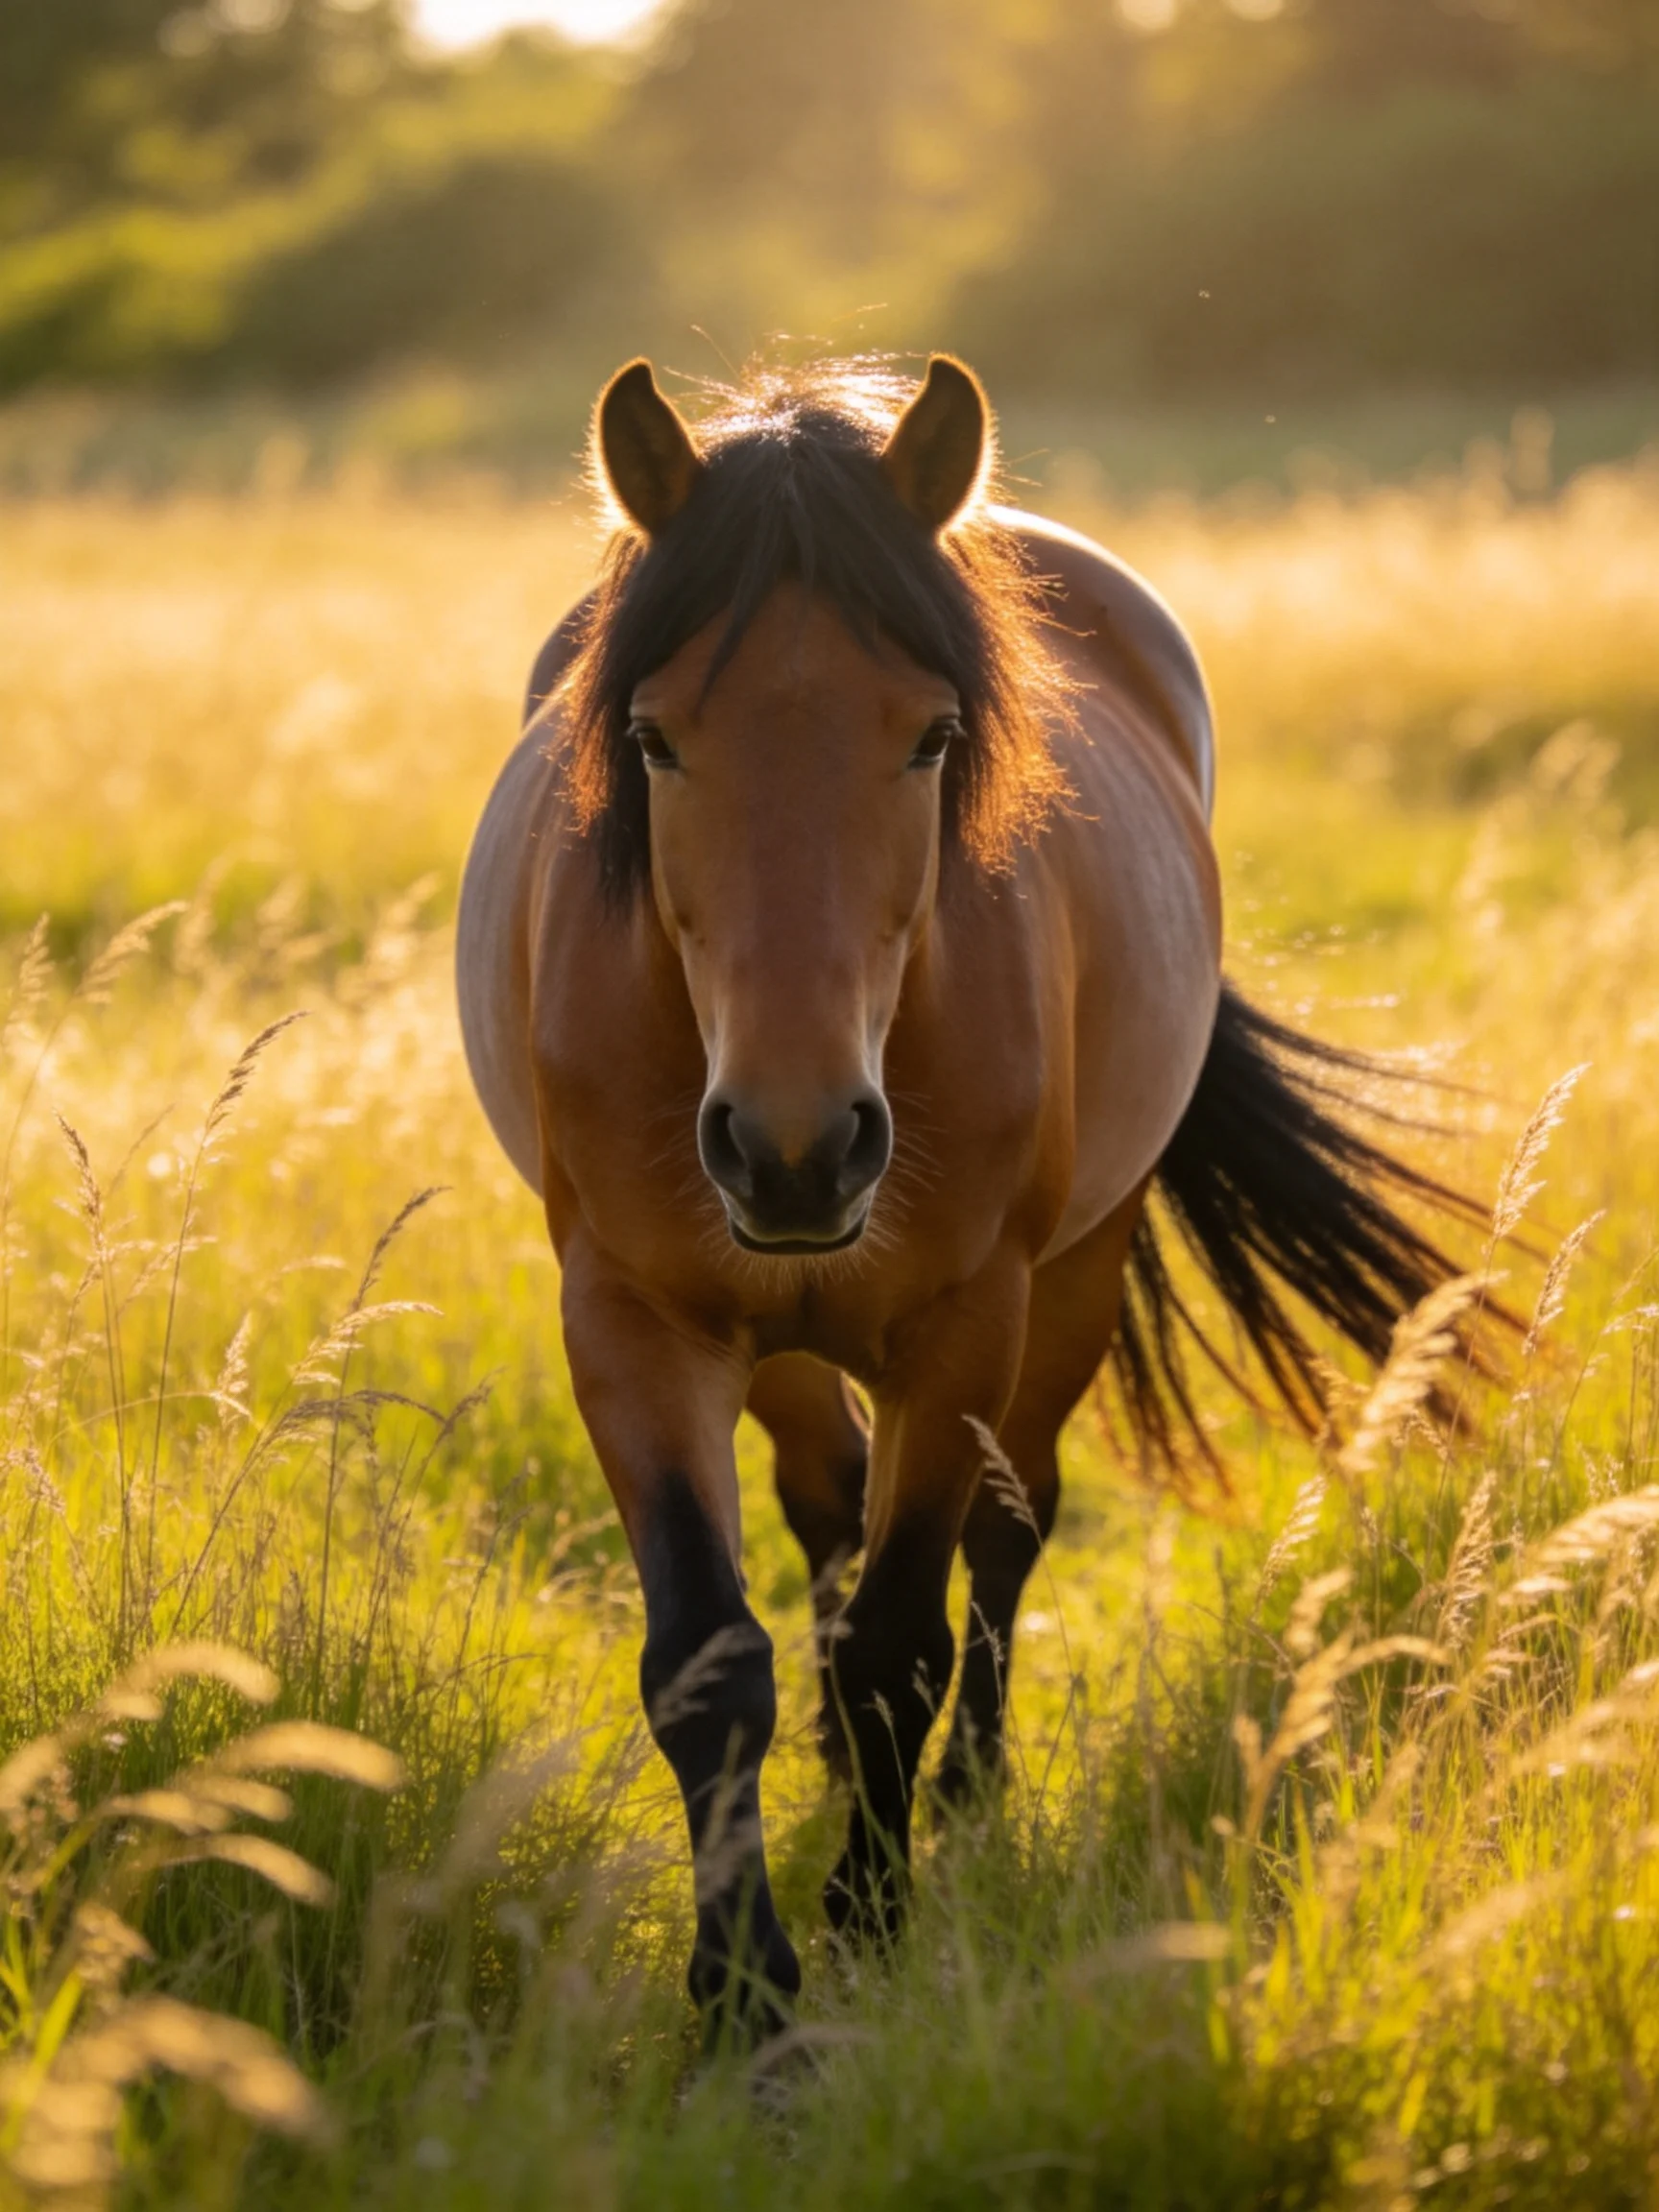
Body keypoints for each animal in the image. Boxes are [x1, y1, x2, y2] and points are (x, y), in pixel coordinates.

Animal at [456, 353, 1478, 2034]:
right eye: (654, 740)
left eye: (934, 737)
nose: (796, 1148)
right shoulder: (633, 1321)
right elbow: (710, 1657)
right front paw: (744, 1996)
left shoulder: (961, 1323)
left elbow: (905, 1640)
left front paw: (870, 1922)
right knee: (825, 1505)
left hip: (1072, 1275)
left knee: (1008, 1529)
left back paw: (971, 1793)